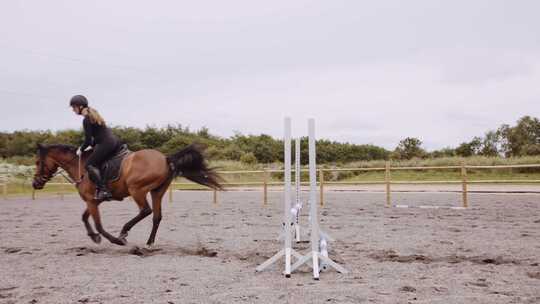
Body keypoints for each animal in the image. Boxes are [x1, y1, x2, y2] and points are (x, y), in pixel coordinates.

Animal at [31, 144, 223, 246]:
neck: (82, 167)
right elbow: (84, 217)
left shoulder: (92, 201)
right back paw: (149, 243)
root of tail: (165, 158)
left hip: (136, 189)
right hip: (157, 191)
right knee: (157, 216)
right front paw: (94, 237)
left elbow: (98, 224)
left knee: (146, 211)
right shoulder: (94, 201)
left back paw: (124, 232)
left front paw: (114, 240)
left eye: (38, 162)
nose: (35, 184)